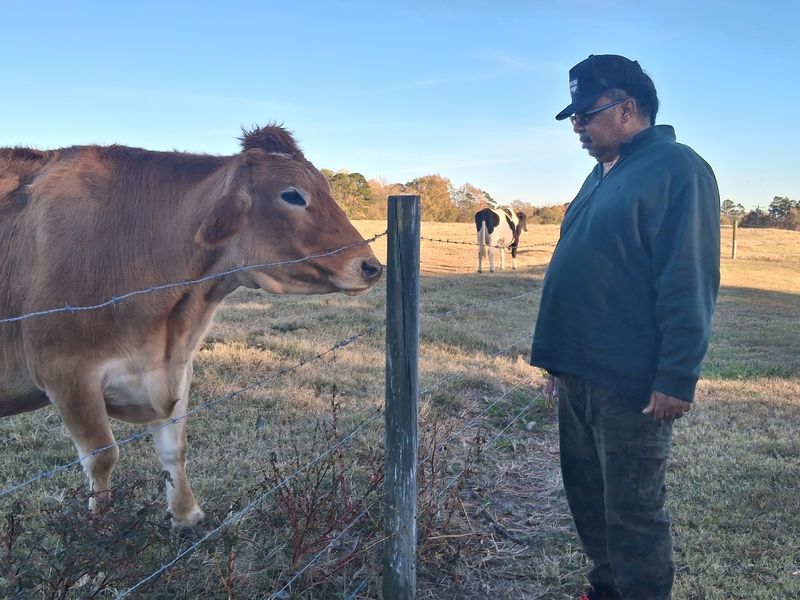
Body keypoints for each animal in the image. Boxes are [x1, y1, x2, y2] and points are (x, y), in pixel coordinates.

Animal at [0, 125, 382, 529]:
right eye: (292, 195)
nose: (371, 266)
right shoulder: (66, 374)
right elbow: (102, 457)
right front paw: (98, 529)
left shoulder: (176, 367)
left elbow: (174, 448)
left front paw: (187, 516)